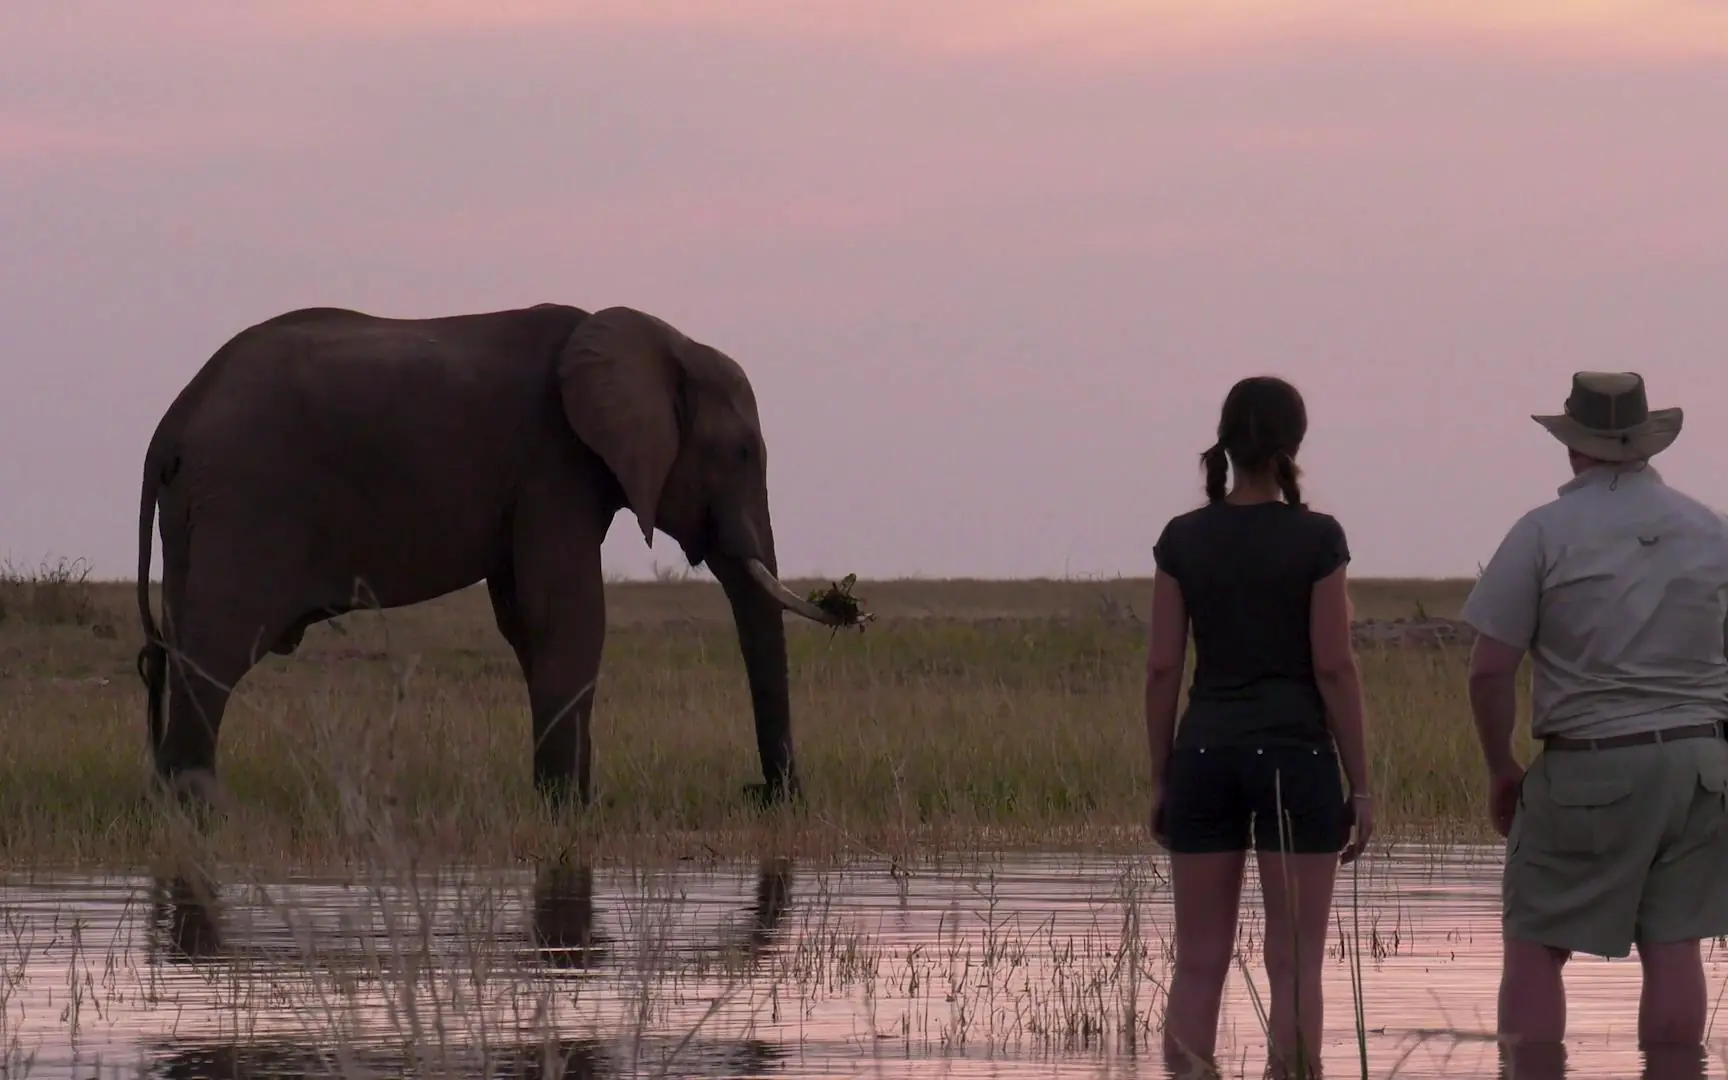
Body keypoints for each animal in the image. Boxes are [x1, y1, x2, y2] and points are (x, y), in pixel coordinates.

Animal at [133, 302, 853, 810]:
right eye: (742, 453)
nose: (764, 795)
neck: (656, 339)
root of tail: (170, 424)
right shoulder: (552, 462)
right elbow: (566, 616)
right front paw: (571, 811)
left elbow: (527, 623)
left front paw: (574, 802)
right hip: (248, 497)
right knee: (219, 643)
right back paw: (204, 811)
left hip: (194, 514)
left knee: (185, 633)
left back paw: (173, 802)